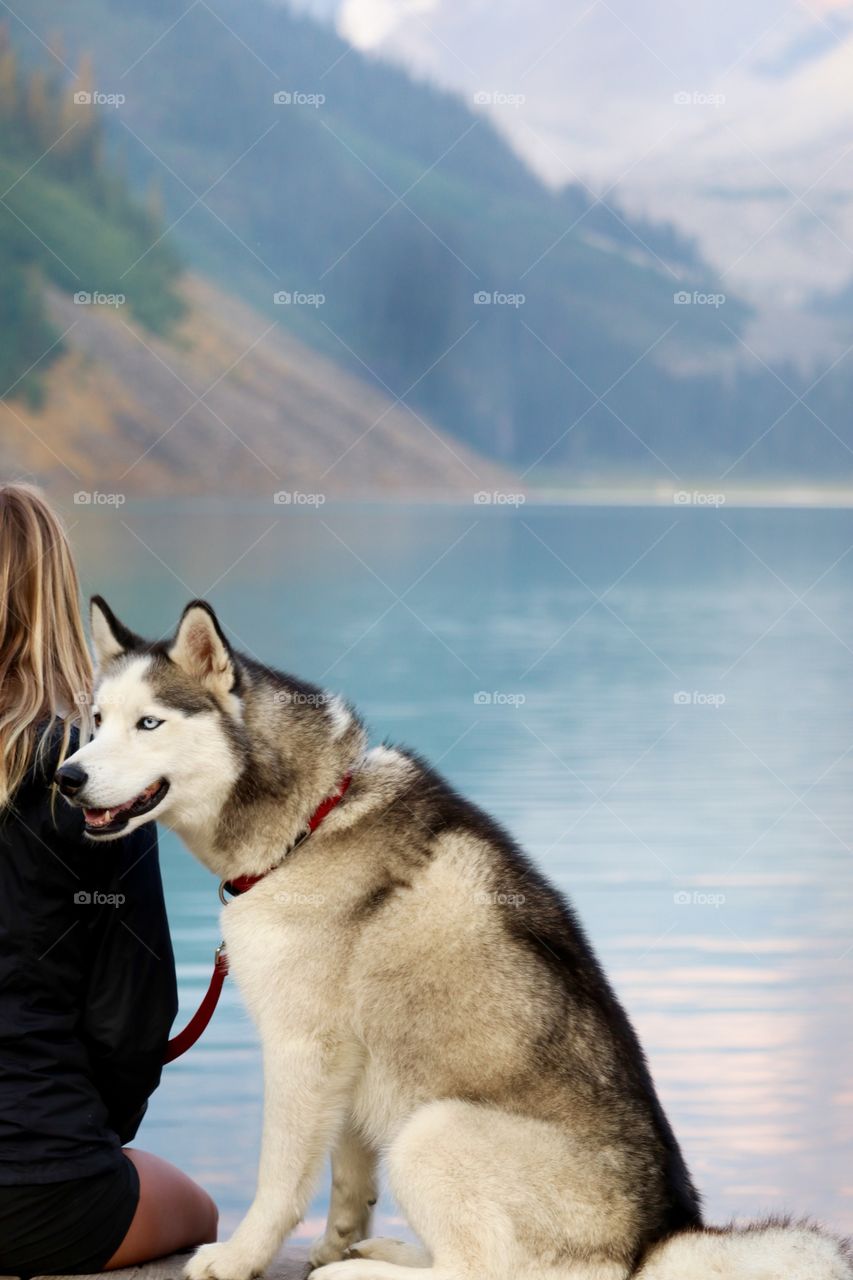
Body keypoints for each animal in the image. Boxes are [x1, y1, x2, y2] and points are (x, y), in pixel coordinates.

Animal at [56, 599, 845, 1280]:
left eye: (149, 723)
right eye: (95, 720)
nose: (66, 776)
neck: (310, 822)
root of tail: (651, 1243)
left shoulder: (301, 1046)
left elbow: (280, 1178)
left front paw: (241, 1257)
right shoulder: (348, 1059)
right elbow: (347, 1175)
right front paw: (334, 1240)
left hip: (431, 1128)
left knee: (481, 1271)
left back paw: (361, 1274)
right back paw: (377, 1253)